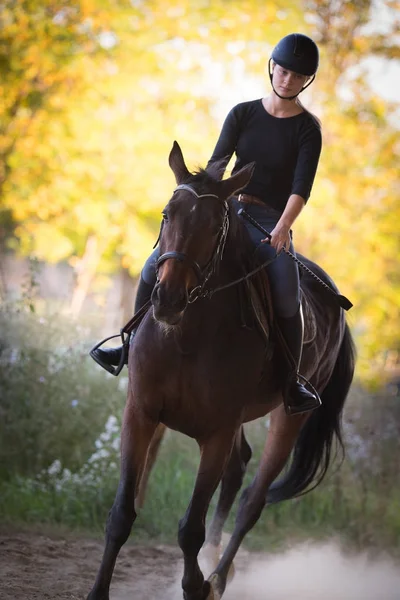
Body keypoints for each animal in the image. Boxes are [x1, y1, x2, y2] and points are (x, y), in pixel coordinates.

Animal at [86, 142, 354, 600]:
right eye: (166, 215)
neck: (185, 337)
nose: (167, 299)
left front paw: (197, 587)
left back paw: (218, 576)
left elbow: (189, 528)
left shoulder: (216, 432)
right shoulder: (141, 414)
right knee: (238, 469)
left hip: (288, 418)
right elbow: (122, 514)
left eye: (215, 227)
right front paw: (98, 591)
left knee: (251, 501)